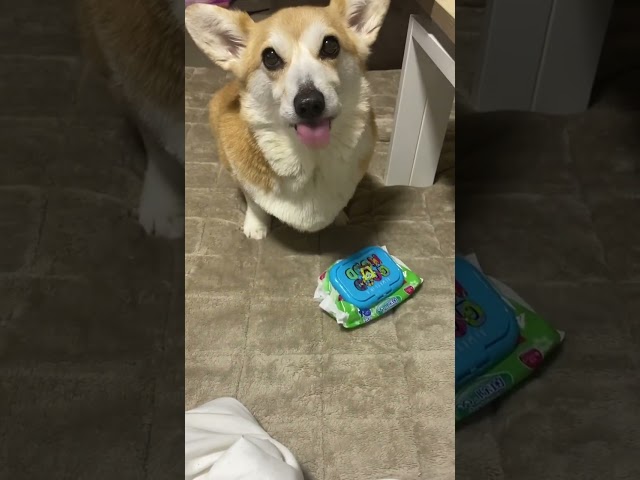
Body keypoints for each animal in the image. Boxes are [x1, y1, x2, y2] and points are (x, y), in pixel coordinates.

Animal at [186, 0, 390, 239]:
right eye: (270, 57)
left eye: (330, 45)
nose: (309, 103)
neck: (311, 157)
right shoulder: (245, 181)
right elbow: (255, 203)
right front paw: (256, 227)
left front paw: (339, 218)